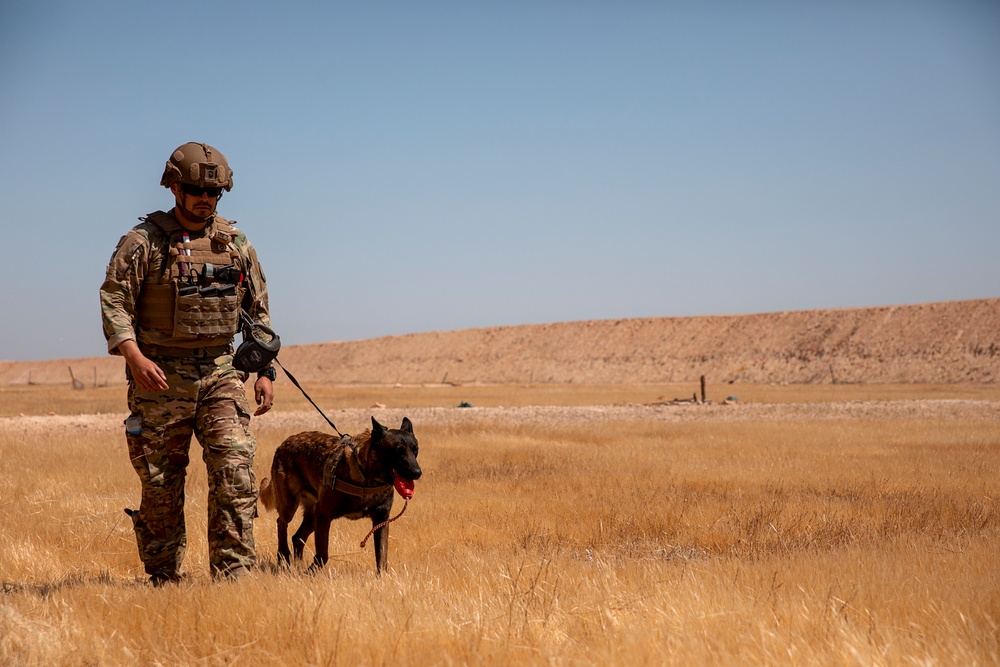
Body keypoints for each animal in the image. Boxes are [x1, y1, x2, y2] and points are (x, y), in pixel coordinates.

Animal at [260, 418, 420, 576]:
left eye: (415, 450)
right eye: (398, 450)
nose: (417, 472)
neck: (367, 476)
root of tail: (285, 443)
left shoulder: (381, 520)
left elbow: (382, 556)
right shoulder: (324, 516)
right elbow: (323, 554)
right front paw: (311, 571)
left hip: (313, 516)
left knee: (297, 537)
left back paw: (297, 566)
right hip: (291, 505)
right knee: (281, 523)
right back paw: (284, 556)